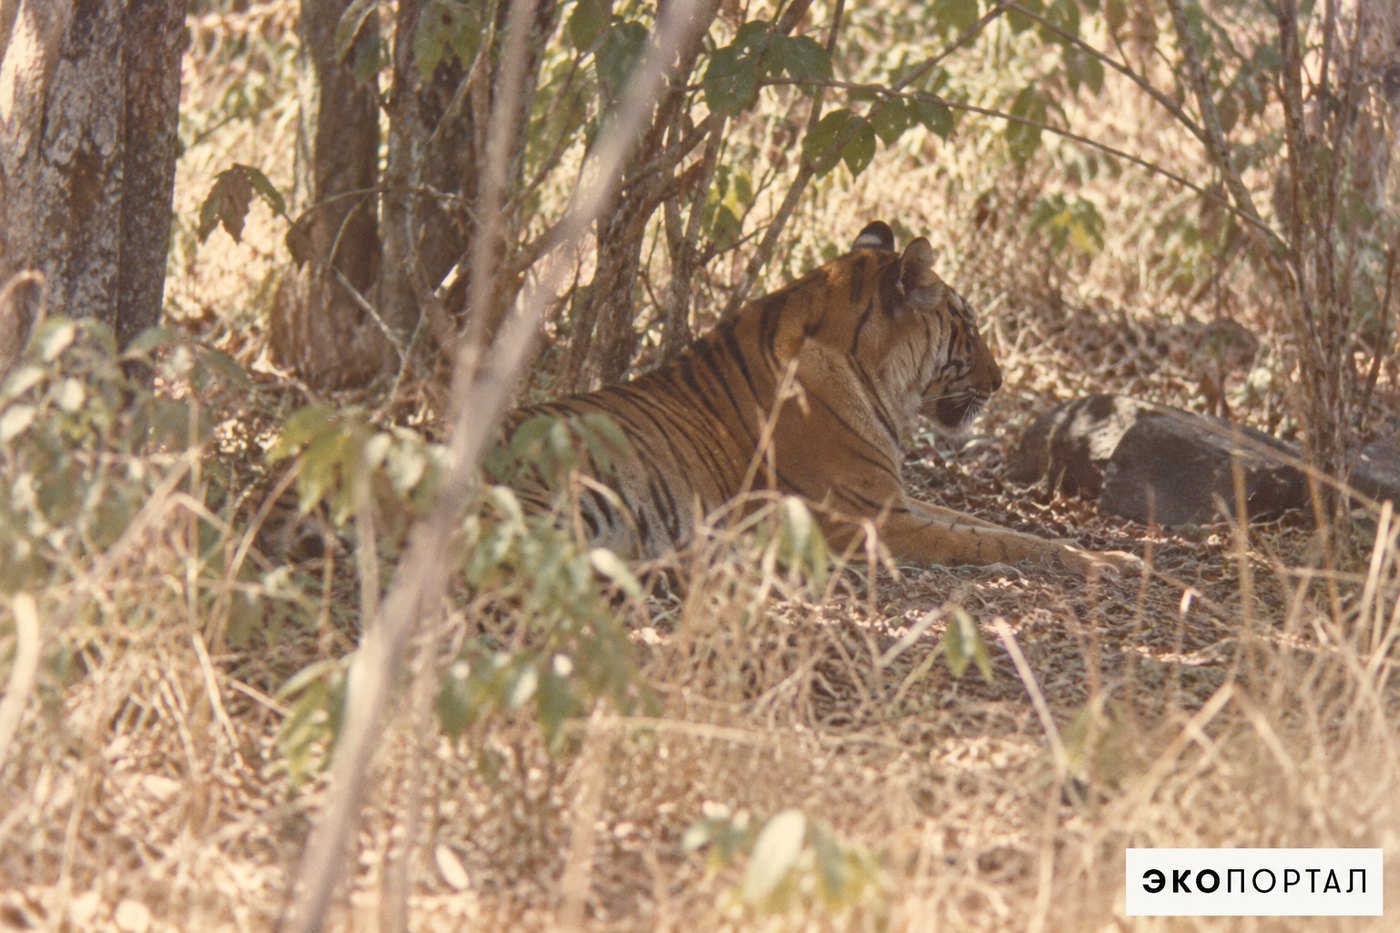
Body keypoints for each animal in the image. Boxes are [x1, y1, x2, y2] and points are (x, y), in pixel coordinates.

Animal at [504, 221, 1136, 576]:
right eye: (970, 327)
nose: (1001, 380)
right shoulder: (867, 519)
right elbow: (990, 542)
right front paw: (1107, 562)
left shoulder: (893, 500)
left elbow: (997, 528)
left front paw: (1108, 555)